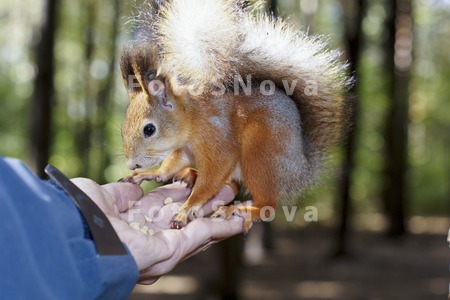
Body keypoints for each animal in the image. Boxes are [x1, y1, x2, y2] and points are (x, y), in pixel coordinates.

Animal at [118, 0, 352, 232]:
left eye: (149, 129)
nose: (131, 164)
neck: (192, 120)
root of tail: (302, 171)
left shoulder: (217, 139)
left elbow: (213, 176)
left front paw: (187, 208)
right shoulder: (184, 150)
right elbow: (172, 165)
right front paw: (149, 174)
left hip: (261, 157)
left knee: (267, 205)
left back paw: (242, 209)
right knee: (232, 184)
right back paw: (191, 175)